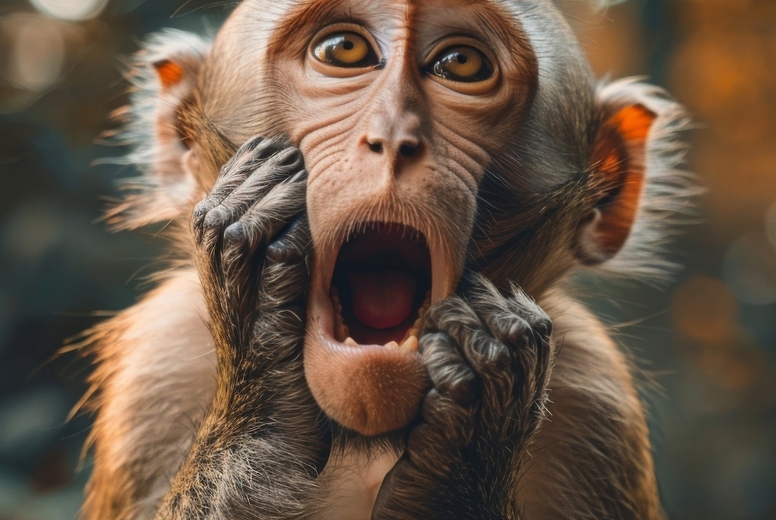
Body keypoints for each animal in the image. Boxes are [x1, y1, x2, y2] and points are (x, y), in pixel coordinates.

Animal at [76, 1, 692, 518]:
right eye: (343, 50)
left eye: (461, 63)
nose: (393, 136)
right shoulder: (160, 370)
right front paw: (259, 340)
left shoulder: (596, 405)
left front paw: (471, 435)